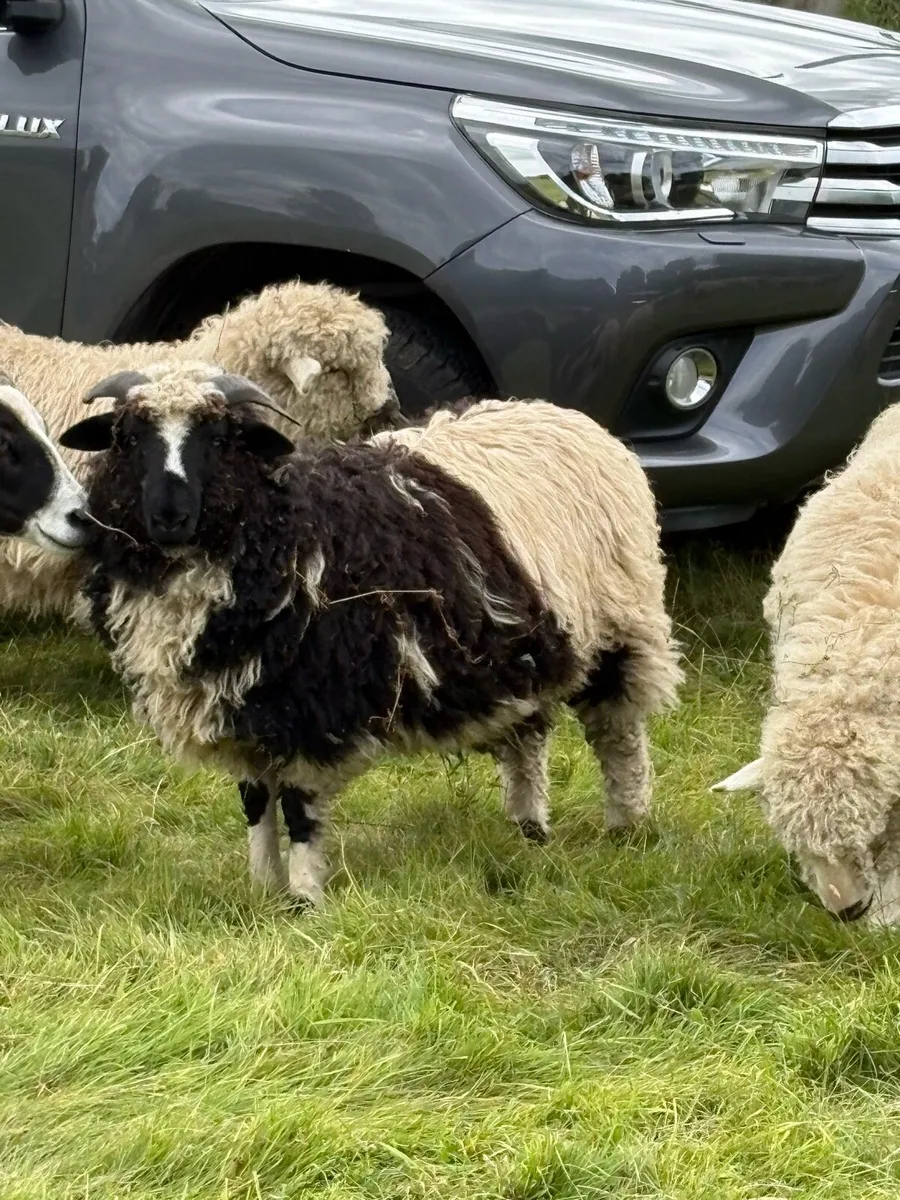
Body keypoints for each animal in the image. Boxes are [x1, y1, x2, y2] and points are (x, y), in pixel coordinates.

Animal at [59, 362, 683, 906]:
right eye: (127, 437)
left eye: (220, 438)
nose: (169, 516)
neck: (281, 526)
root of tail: (564, 415)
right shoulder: (245, 704)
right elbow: (255, 801)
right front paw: (261, 887)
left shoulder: (310, 706)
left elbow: (298, 809)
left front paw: (304, 901)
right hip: (518, 647)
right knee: (528, 737)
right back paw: (527, 828)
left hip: (620, 627)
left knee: (618, 736)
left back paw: (626, 827)